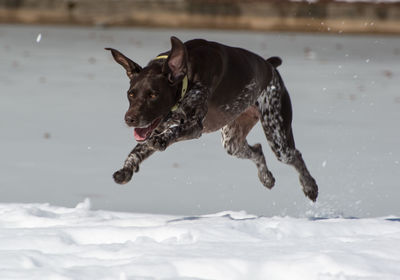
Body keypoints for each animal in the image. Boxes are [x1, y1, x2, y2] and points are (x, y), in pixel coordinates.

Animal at [105, 36, 318, 201]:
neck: (187, 75)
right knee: (257, 150)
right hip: (232, 142)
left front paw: (162, 140)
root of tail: (270, 66)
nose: (129, 119)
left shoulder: (194, 126)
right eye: (131, 94)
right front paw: (126, 169)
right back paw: (266, 178)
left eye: (153, 95)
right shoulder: (155, 127)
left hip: (278, 137)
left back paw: (310, 187)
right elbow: (138, 150)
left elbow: (170, 133)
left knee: (295, 155)